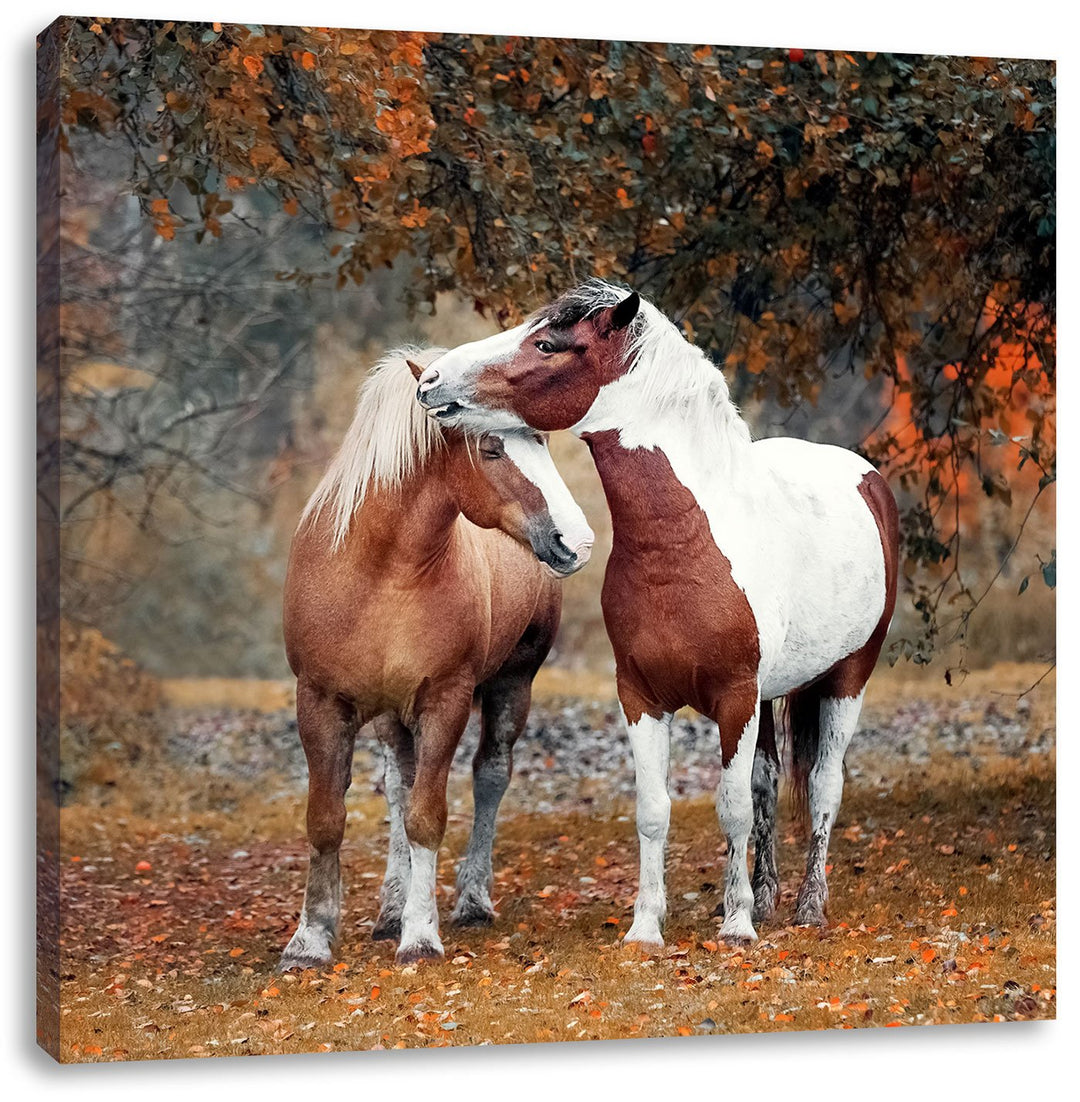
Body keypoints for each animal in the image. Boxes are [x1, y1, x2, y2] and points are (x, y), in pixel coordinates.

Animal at [280, 347, 594, 967]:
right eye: (492, 448)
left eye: (541, 441)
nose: (577, 542)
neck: (382, 573)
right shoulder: (321, 702)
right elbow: (328, 819)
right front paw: (310, 939)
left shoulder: (444, 701)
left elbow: (427, 818)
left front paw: (421, 935)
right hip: (390, 715)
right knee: (398, 786)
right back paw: (390, 908)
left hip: (512, 685)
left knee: (490, 775)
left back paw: (471, 900)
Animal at [413, 282, 899, 947]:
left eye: (547, 343)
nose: (431, 380)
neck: (683, 543)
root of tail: (865, 476)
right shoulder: (642, 698)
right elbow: (656, 810)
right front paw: (647, 928)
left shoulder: (735, 699)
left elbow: (731, 807)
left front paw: (737, 928)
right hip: (774, 695)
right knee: (770, 782)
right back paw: (767, 900)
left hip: (848, 679)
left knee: (825, 785)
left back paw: (808, 909)